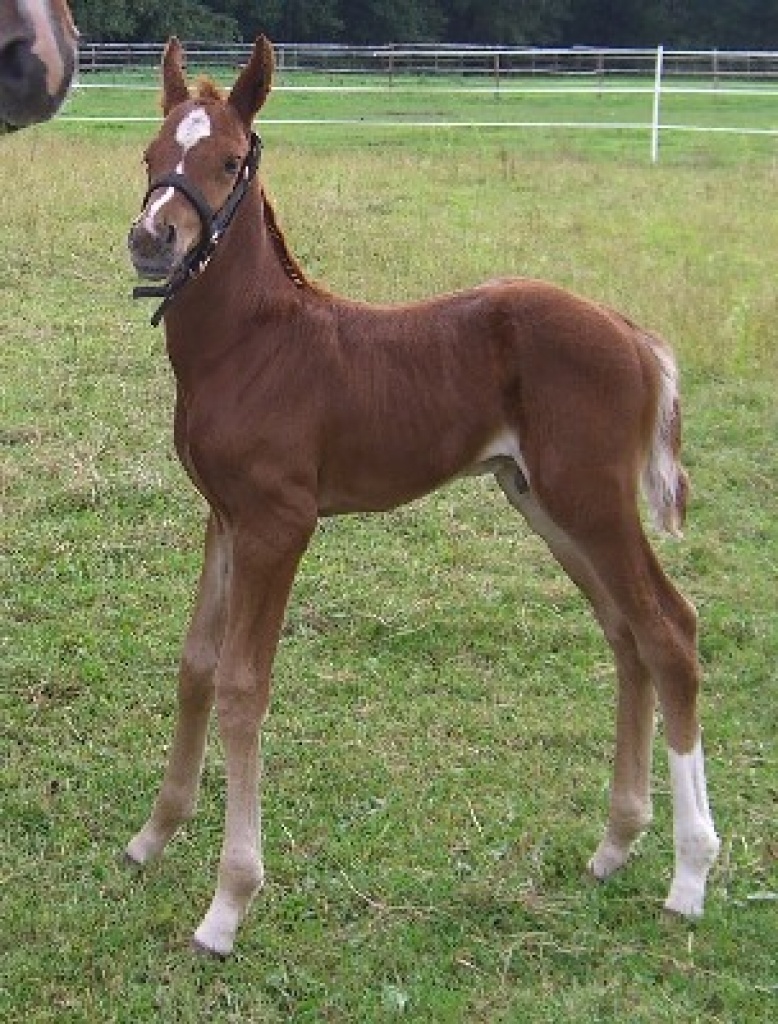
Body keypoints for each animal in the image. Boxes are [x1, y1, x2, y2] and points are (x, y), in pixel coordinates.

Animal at [126, 35, 720, 957]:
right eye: (151, 156)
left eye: (226, 160)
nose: (152, 239)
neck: (254, 345)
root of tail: (632, 332)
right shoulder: (221, 516)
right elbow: (195, 666)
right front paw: (153, 837)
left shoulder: (278, 524)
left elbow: (242, 686)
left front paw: (228, 904)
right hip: (543, 501)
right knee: (626, 633)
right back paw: (616, 845)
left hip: (590, 499)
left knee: (668, 628)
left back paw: (689, 876)